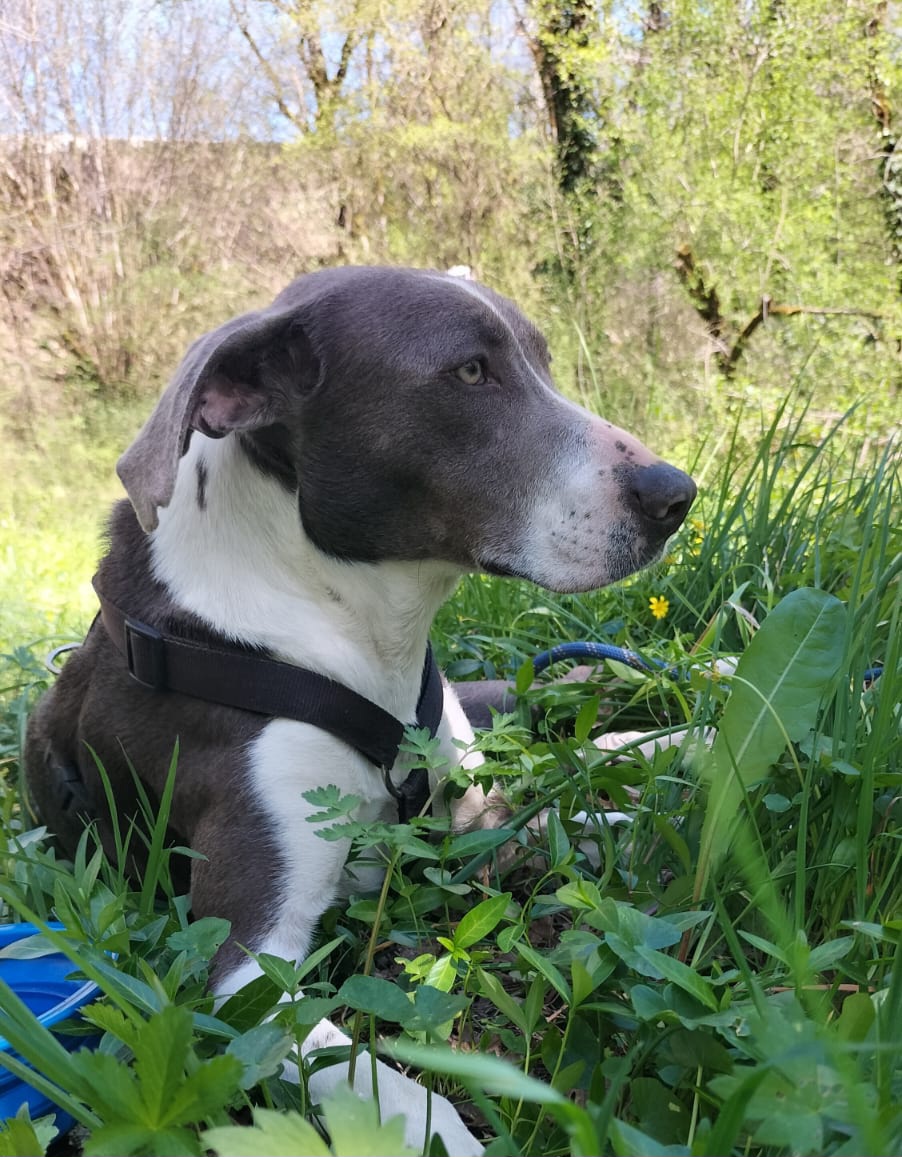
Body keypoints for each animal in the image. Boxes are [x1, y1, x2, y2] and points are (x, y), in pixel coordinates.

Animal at [24, 265, 695, 1154]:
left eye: (543, 360)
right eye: (469, 372)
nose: (677, 493)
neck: (348, 633)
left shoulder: (467, 823)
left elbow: (591, 818)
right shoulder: (244, 968)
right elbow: (388, 1086)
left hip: (474, 711)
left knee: (568, 693)